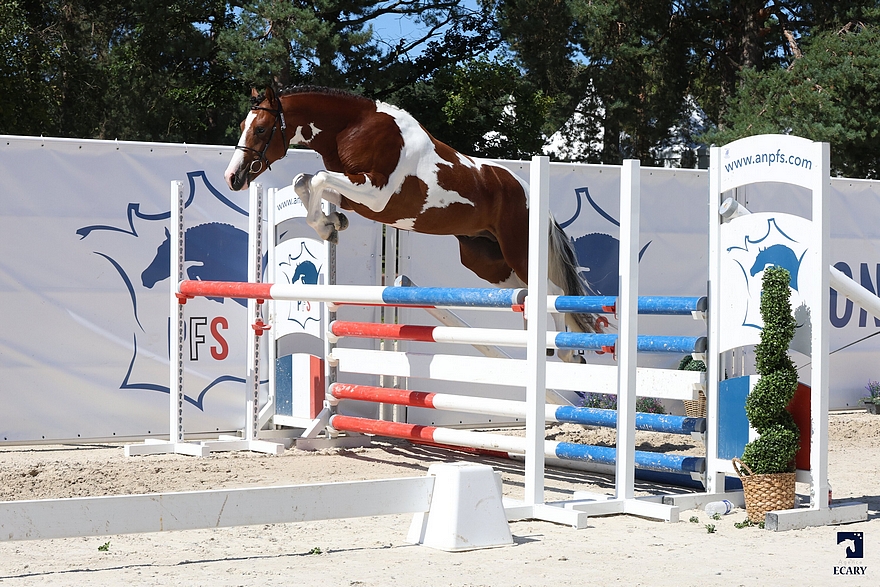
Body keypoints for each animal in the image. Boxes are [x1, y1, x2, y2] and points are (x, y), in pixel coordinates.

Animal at [223, 85, 600, 360]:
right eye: (242, 127)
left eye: (260, 129)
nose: (233, 178)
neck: (352, 128)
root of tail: (537, 203)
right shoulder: (358, 195)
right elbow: (305, 181)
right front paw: (332, 224)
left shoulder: (376, 194)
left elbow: (316, 177)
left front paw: (329, 225)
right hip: (488, 262)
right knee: (530, 294)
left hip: (519, 250)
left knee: (554, 294)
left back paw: (565, 352)